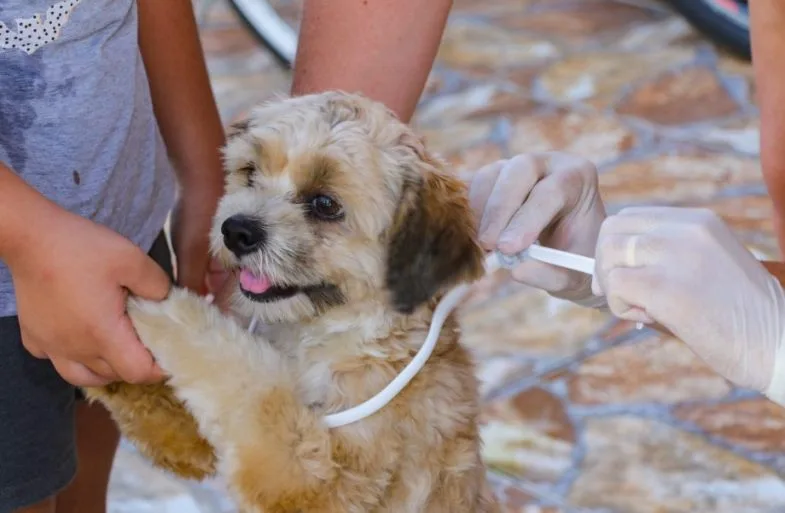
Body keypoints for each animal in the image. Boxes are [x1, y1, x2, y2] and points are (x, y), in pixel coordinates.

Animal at [84, 90, 496, 510]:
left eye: (325, 204)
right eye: (249, 173)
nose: (236, 231)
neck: (321, 335)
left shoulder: (320, 482)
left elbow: (247, 385)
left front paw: (170, 313)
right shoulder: (195, 441)